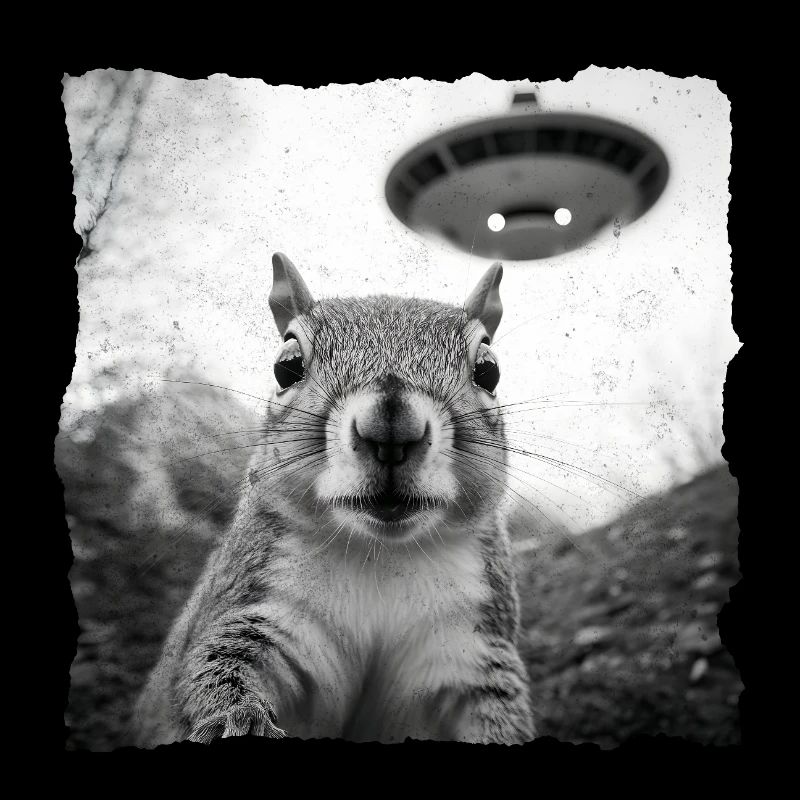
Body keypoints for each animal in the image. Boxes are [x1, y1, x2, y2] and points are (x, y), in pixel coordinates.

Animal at [133, 252, 535, 746]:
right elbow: (217, 668)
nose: (391, 427)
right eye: (286, 365)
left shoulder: (469, 651)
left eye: (488, 370)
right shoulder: (261, 610)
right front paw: (239, 720)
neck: (382, 555)